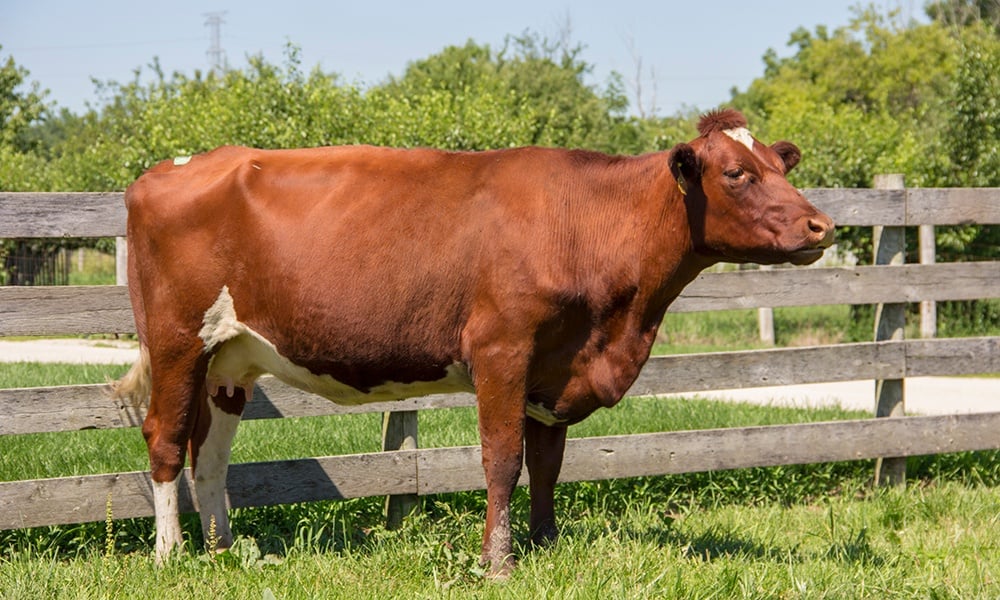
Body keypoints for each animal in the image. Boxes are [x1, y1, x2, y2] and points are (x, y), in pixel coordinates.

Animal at [113, 109, 836, 576]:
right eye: (737, 173)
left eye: (780, 164)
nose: (821, 224)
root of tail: (169, 168)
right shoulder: (502, 351)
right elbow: (502, 460)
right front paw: (500, 562)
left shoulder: (556, 365)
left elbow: (548, 463)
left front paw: (546, 546)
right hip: (177, 340)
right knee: (166, 441)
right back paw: (171, 557)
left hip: (230, 359)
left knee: (210, 454)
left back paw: (226, 553)